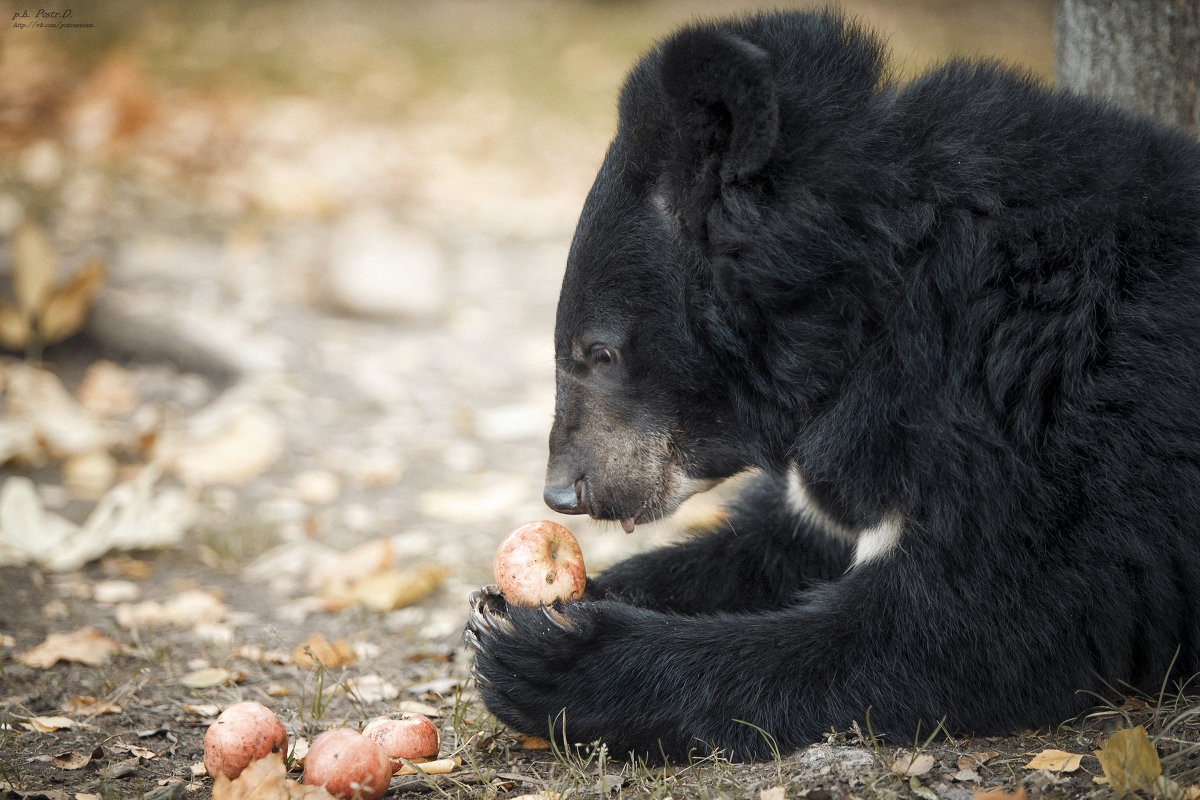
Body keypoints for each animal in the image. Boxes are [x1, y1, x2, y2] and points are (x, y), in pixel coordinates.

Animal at [463, 10, 1200, 762]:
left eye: (601, 352)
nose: (563, 493)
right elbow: (778, 540)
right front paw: (513, 606)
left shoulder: (1047, 430)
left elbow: (971, 628)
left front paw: (550, 659)